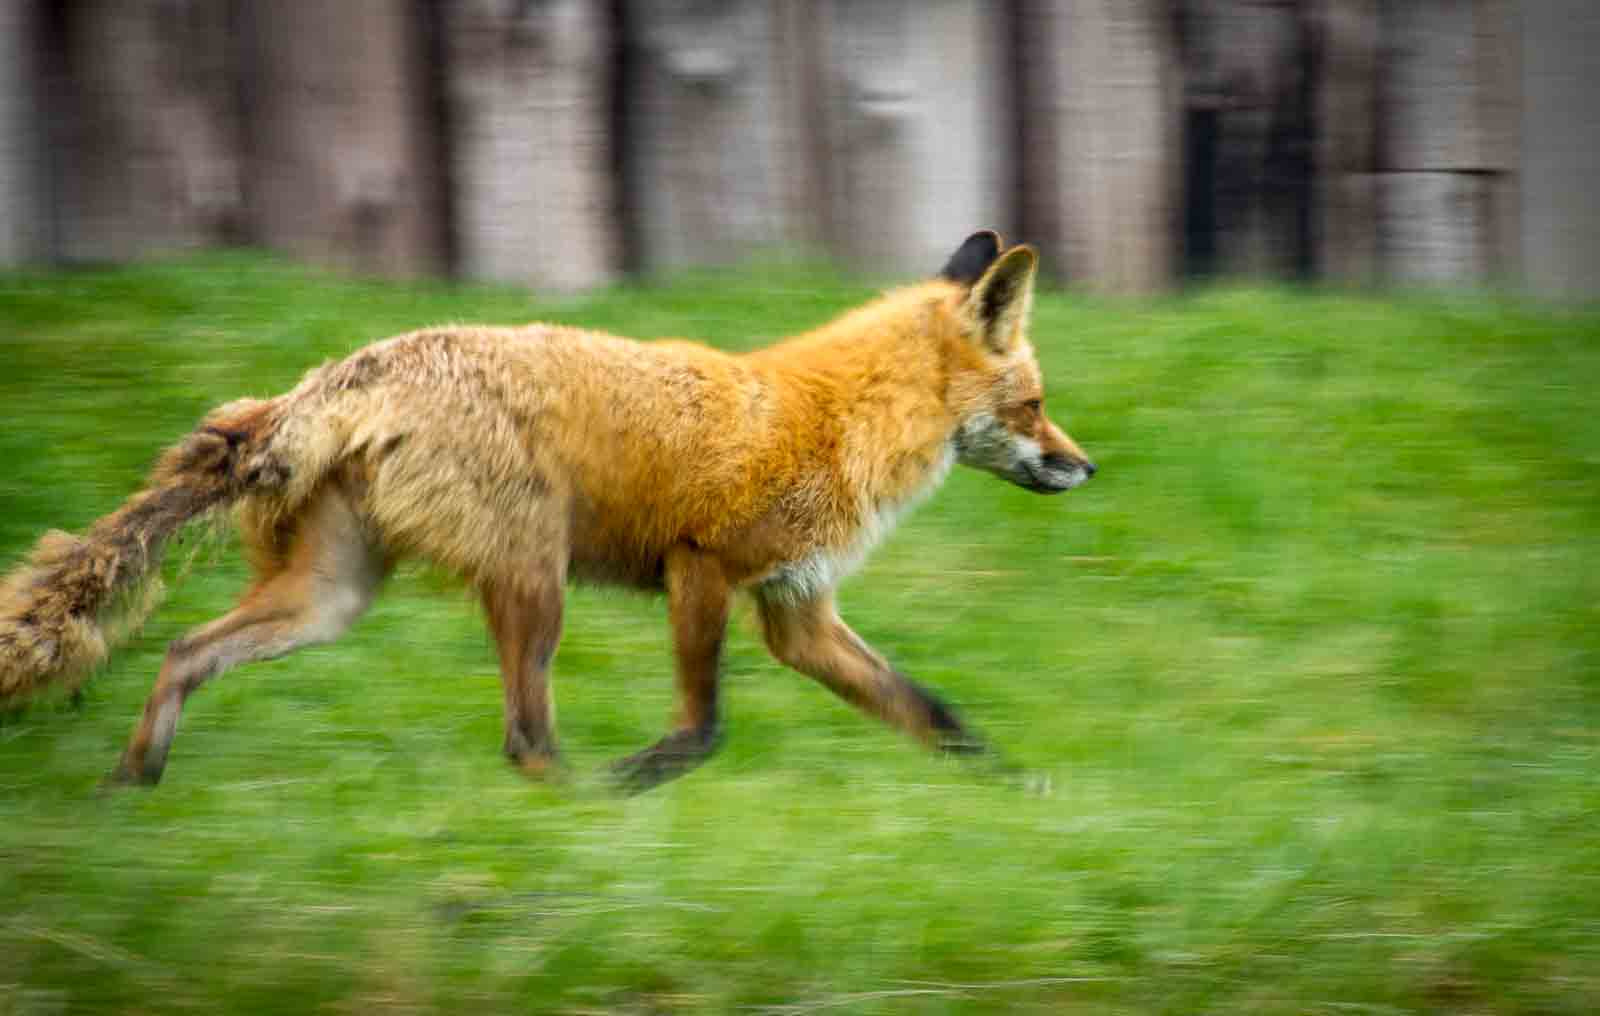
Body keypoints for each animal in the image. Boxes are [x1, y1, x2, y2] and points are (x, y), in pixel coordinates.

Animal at [0, 231, 1094, 790]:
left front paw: (1016, 791)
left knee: (185, 649)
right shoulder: (701, 568)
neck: (833, 418)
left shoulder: (798, 610)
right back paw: (574, 814)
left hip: (332, 598)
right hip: (534, 580)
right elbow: (702, 729)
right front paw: (634, 787)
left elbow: (933, 712)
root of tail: (335, 376)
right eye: (1034, 405)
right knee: (525, 738)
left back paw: (135, 779)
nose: (1086, 466)